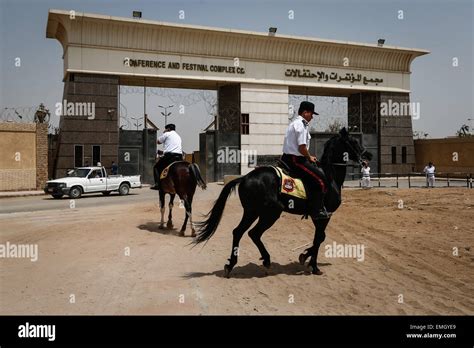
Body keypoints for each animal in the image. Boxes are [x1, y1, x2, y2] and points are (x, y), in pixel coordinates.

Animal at [194, 128, 372, 278]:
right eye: (354, 142)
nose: (368, 156)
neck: (329, 176)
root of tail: (245, 177)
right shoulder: (323, 215)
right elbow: (319, 238)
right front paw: (312, 265)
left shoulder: (318, 217)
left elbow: (319, 238)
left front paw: (305, 256)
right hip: (271, 213)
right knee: (254, 233)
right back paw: (265, 261)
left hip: (252, 212)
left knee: (238, 232)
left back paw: (231, 265)